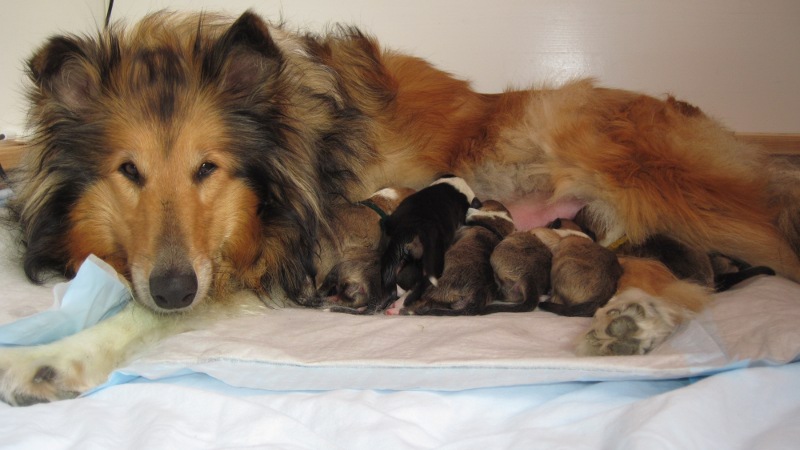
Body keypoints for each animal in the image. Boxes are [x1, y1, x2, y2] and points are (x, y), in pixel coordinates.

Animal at [2, 10, 800, 404]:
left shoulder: (257, 257)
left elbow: (141, 316)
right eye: (128, 171)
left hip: (652, 180)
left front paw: (50, 361)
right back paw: (631, 321)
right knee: (681, 277)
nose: (173, 287)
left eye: (208, 168)